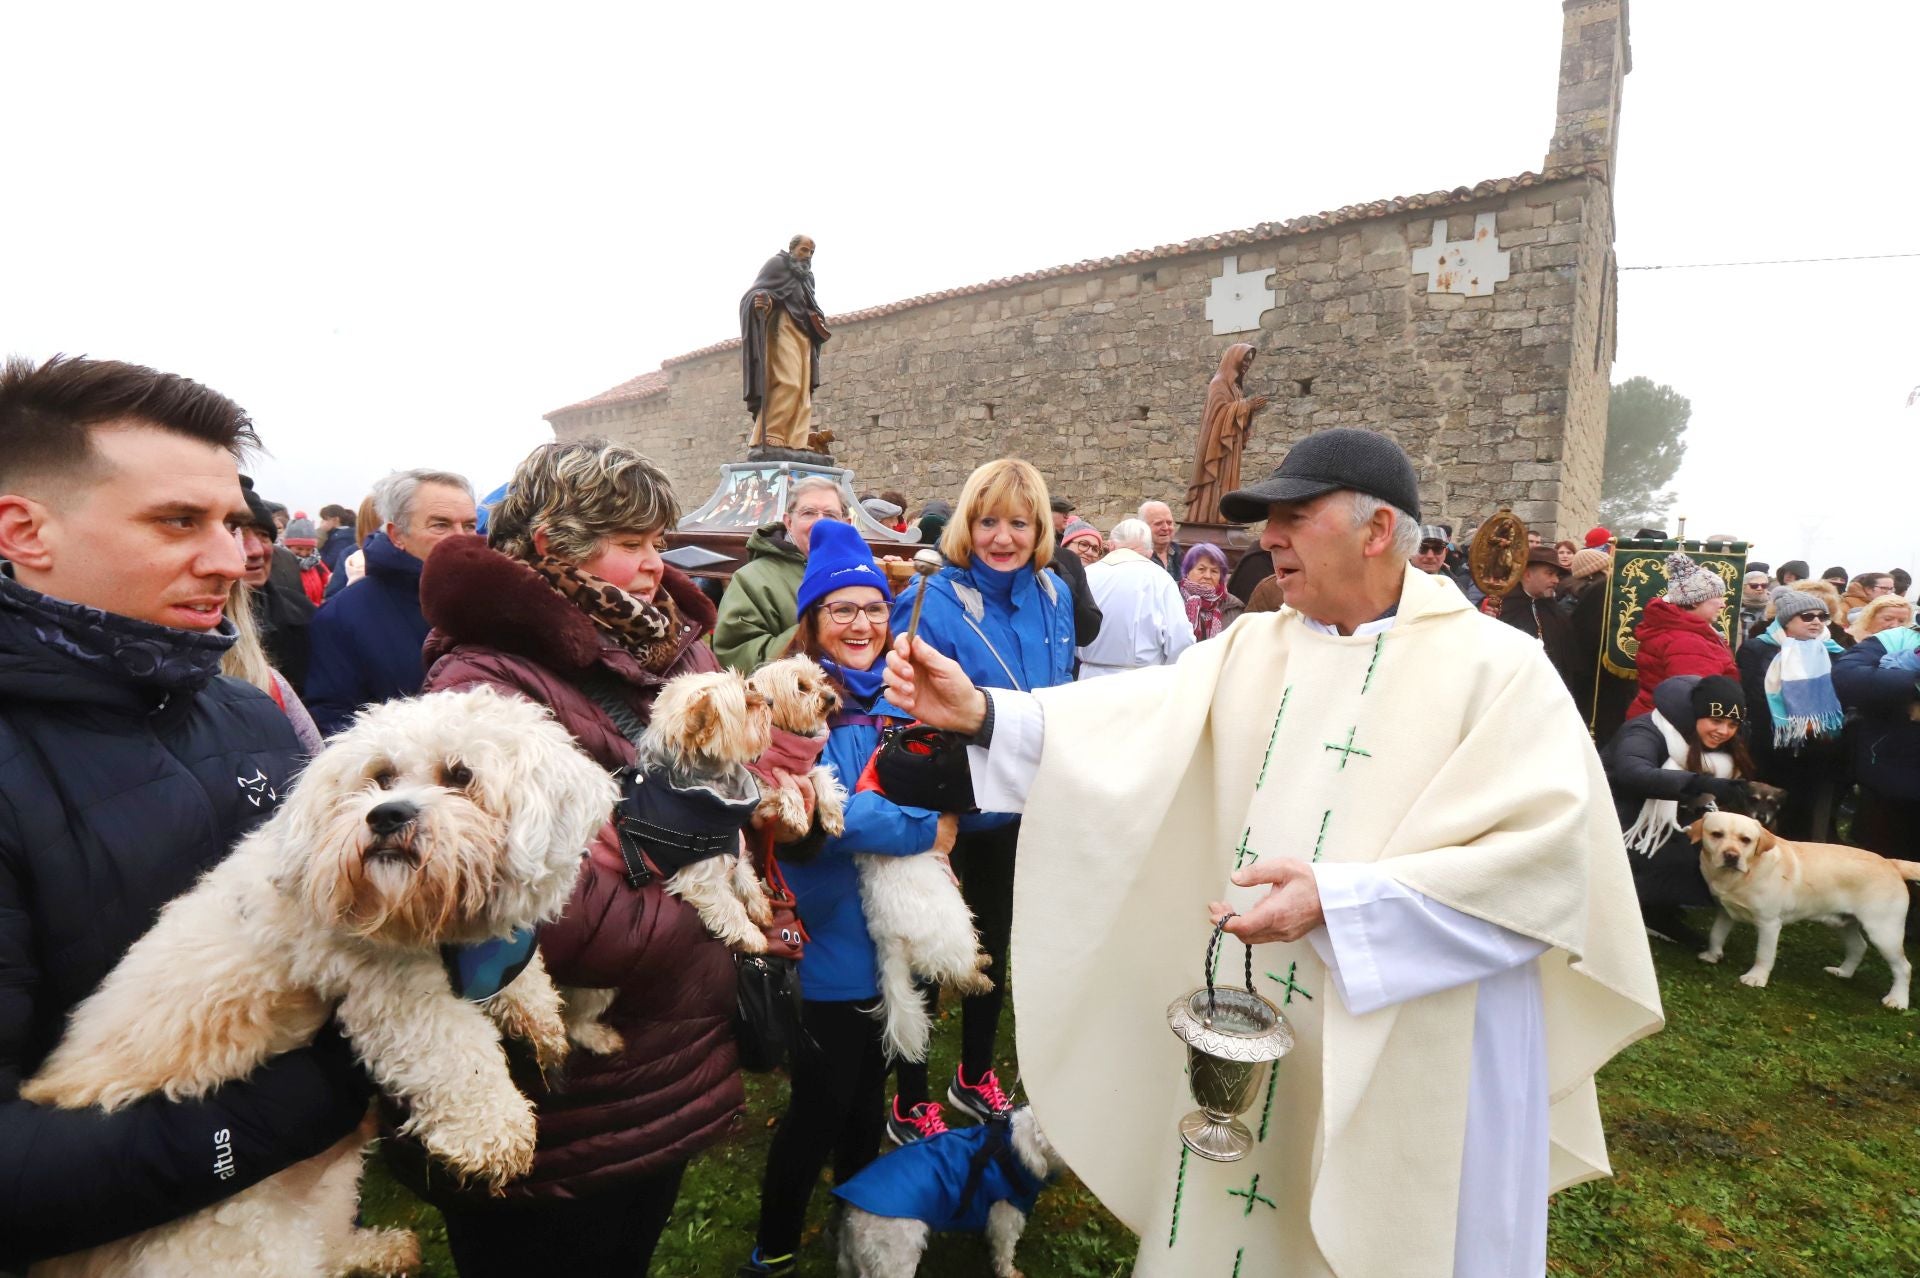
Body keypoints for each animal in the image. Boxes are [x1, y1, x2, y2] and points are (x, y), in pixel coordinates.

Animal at [20, 686, 614, 1274]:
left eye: (460, 774)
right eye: (379, 776)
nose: (385, 815)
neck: (423, 917)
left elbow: (520, 981)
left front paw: (540, 1017)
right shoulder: (392, 989)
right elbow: (452, 1051)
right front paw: (494, 1133)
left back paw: (377, 1251)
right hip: (238, 1242)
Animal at [833, 1105, 1067, 1274]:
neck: (1012, 1150)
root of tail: (853, 1215)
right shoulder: (1005, 1214)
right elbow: (1004, 1250)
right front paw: (1009, 1272)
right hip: (895, 1258)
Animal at [1697, 809, 1920, 1013]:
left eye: (1746, 840)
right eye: (1716, 834)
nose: (1731, 856)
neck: (1742, 874)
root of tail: (1892, 863)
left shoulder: (1769, 923)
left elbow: (1764, 954)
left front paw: (1756, 978)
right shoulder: (1725, 912)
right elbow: (1716, 934)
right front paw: (1712, 955)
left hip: (1884, 932)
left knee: (1904, 967)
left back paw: (1898, 1000)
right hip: (1842, 923)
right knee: (1859, 946)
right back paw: (1842, 972)